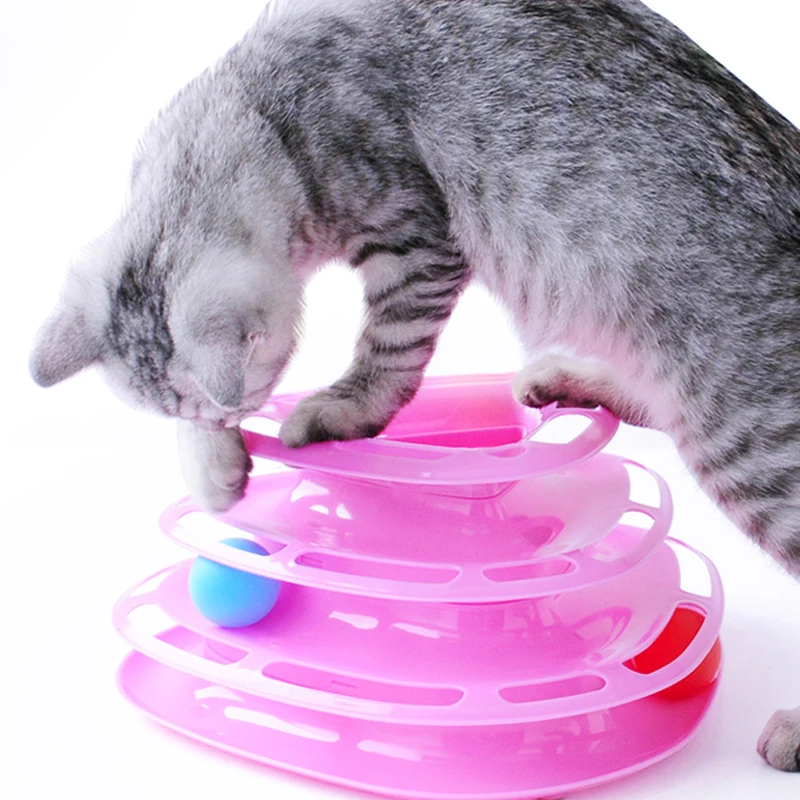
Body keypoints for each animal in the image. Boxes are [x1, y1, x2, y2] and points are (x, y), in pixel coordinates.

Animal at [28, 0, 800, 771]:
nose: (228, 419)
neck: (262, 109)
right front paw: (210, 461)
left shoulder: (415, 240)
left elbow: (387, 353)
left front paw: (337, 411)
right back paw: (572, 376)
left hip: (743, 443)